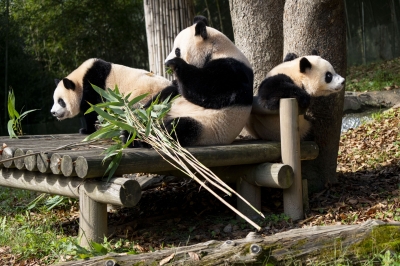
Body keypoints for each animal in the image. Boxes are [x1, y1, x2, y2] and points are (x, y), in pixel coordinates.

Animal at [150, 15, 253, 147]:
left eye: (177, 50)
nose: (165, 63)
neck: (216, 50)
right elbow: (175, 89)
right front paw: (174, 81)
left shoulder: (234, 72)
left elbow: (207, 89)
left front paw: (176, 64)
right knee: (159, 100)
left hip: (206, 127)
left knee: (178, 127)